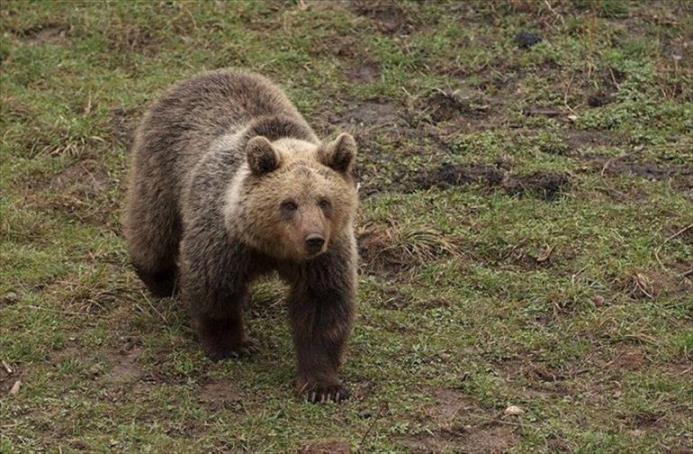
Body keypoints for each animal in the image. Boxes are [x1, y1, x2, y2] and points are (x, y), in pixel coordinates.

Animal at [124, 69, 360, 402]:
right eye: (289, 204)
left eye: (324, 201)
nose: (313, 238)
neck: (272, 247)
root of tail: (203, 75)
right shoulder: (225, 239)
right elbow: (213, 286)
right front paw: (233, 346)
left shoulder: (326, 256)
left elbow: (322, 308)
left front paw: (322, 385)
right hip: (161, 165)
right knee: (153, 227)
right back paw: (160, 280)